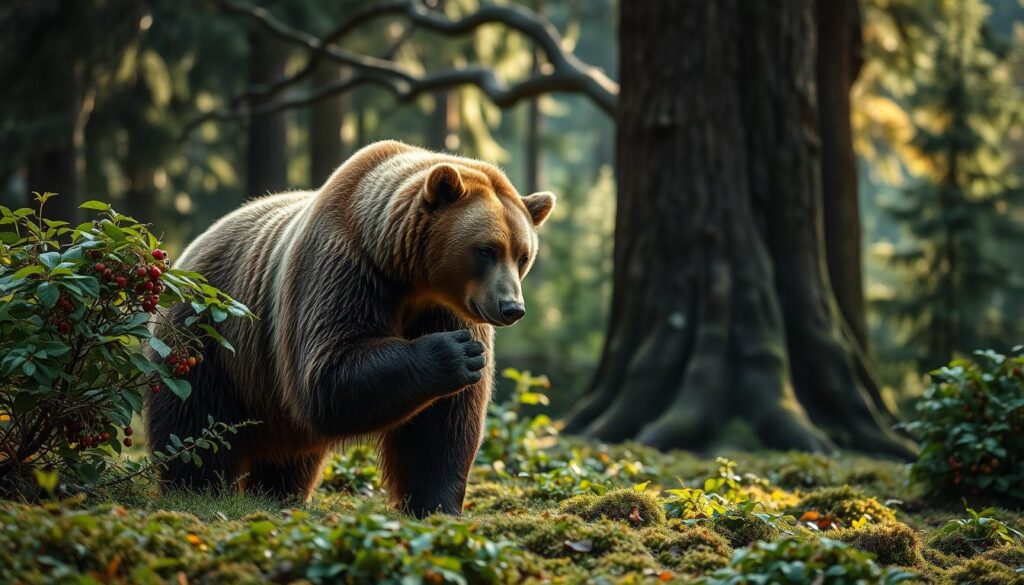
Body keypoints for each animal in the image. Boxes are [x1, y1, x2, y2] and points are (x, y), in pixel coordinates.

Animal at [144, 140, 555, 517]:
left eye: (522, 255)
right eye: (486, 250)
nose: (511, 307)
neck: (406, 275)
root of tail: (191, 248)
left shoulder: (443, 307)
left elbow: (442, 423)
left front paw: (436, 505)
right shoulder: (341, 268)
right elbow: (330, 370)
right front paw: (457, 352)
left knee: (289, 456)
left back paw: (280, 494)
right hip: (209, 333)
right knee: (196, 421)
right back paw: (199, 490)